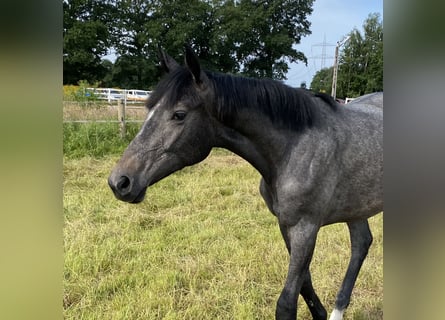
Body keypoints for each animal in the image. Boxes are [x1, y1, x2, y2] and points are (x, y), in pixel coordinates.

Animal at [108, 45, 382, 320]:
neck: (293, 148)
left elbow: (286, 302)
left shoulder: (305, 228)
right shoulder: (286, 226)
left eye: (179, 114)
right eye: (149, 108)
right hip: (356, 207)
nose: (120, 181)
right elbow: (305, 283)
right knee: (361, 244)